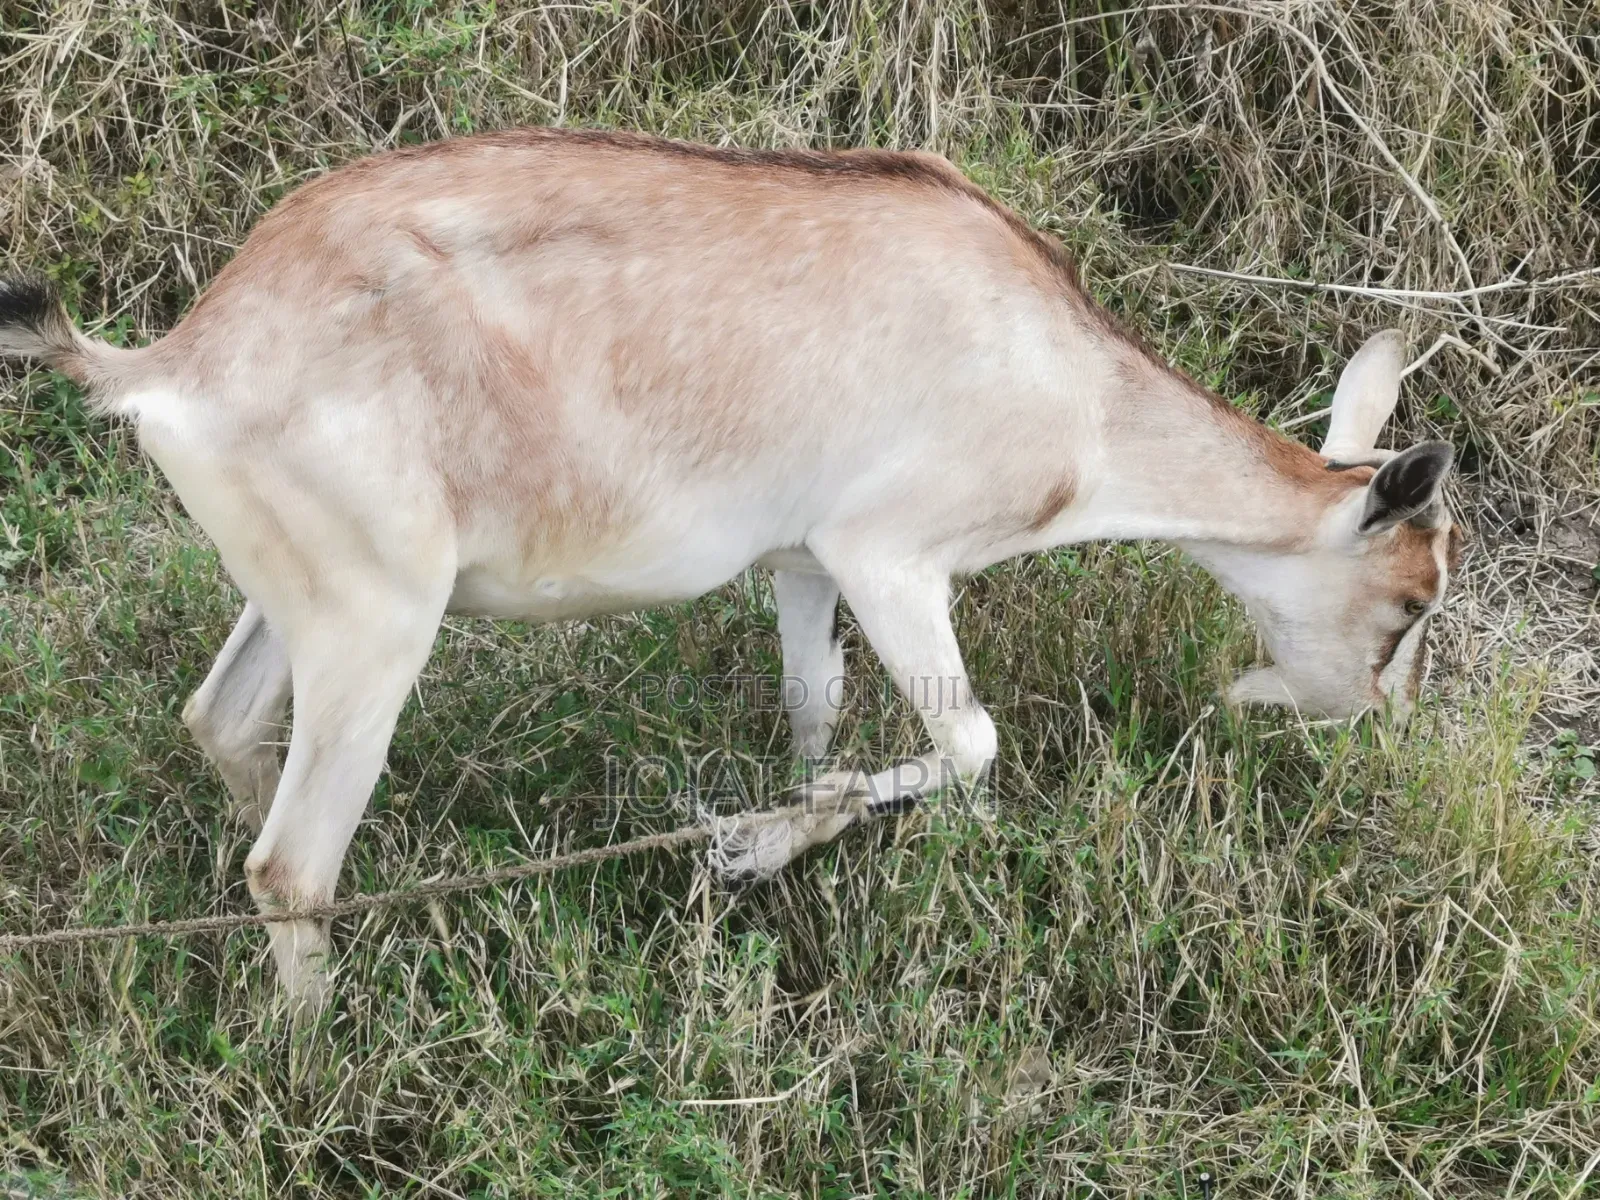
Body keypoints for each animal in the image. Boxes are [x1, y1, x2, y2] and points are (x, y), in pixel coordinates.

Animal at [0, 128, 1461, 1007]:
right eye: (1408, 606)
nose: (1374, 734)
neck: (1074, 388)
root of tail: (176, 360)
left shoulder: (802, 561)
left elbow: (817, 714)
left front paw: (778, 849)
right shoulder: (891, 555)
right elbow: (973, 742)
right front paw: (762, 855)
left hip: (301, 598)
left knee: (224, 723)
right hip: (378, 624)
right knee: (290, 864)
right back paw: (325, 1073)